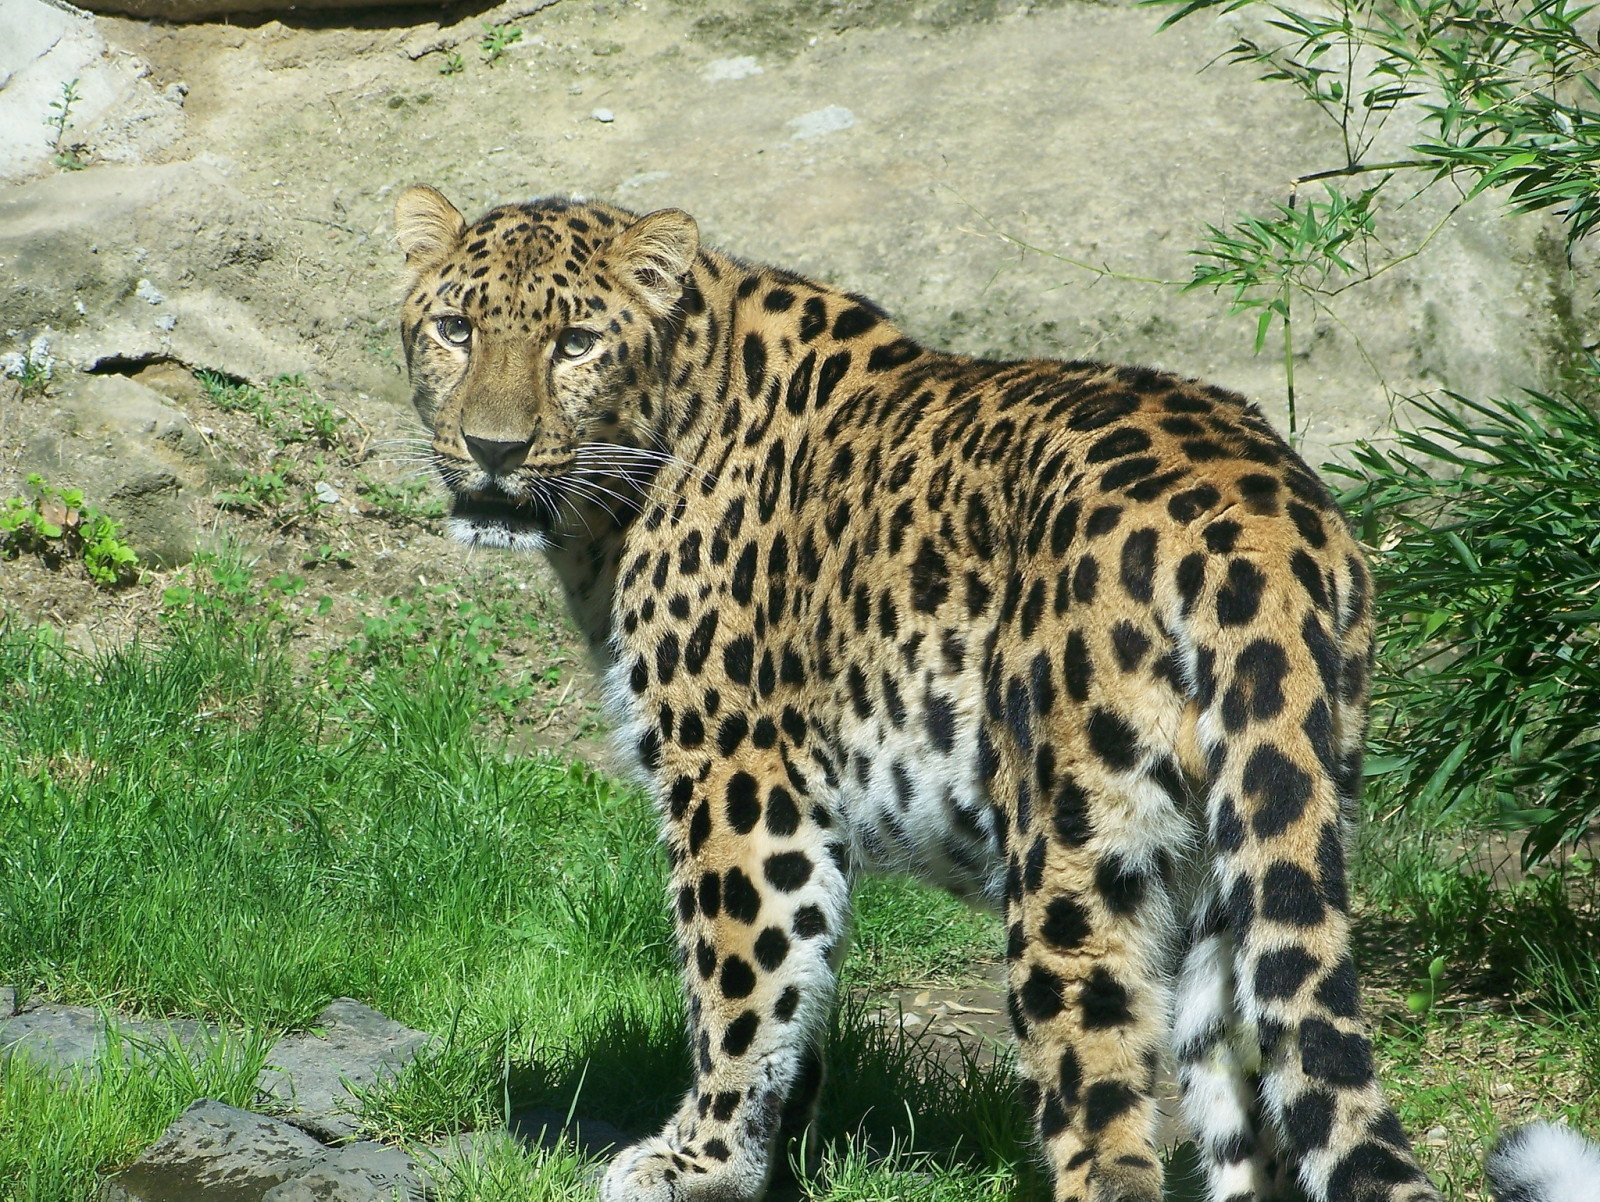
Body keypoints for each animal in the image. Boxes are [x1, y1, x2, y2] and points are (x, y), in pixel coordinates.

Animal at [390, 183, 1600, 1202]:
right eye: (454, 330)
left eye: (575, 343)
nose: (491, 450)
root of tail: (1253, 509)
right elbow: (802, 986)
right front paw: (774, 1154)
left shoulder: (739, 784)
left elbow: (739, 985)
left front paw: (699, 1159)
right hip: (1255, 851)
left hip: (1072, 857)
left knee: (1108, 1137)